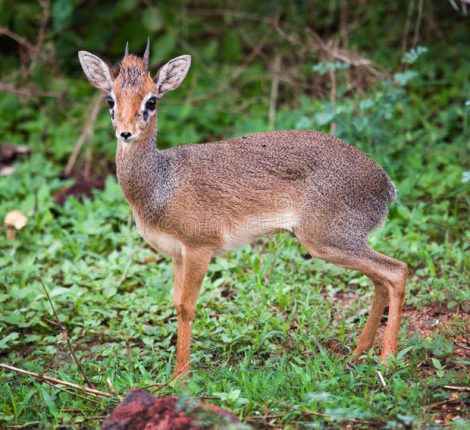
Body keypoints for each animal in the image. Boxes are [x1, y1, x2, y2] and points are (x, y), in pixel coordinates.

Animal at [78, 40, 408, 376]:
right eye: (110, 98)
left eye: (152, 100)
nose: (126, 132)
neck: (161, 184)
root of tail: (386, 184)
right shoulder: (176, 253)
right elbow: (176, 304)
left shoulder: (199, 248)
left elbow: (187, 307)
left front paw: (180, 377)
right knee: (381, 281)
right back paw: (358, 353)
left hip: (327, 241)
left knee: (397, 271)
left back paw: (387, 359)